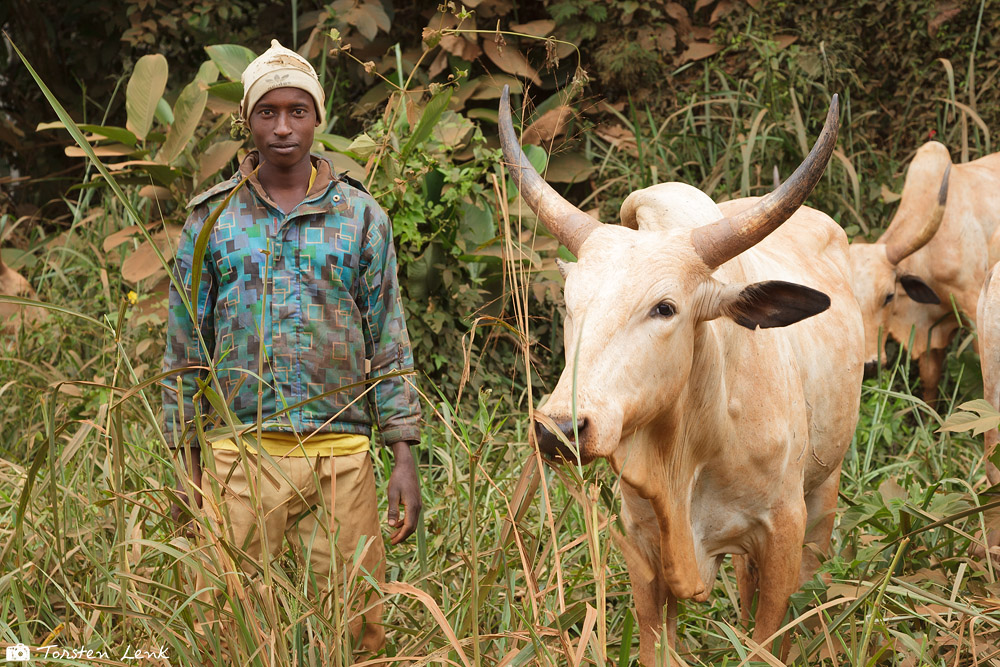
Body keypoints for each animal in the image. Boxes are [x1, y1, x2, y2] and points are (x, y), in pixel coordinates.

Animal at [504, 86, 864, 664]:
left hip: (823, 489)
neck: (693, 446)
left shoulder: (782, 533)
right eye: (569, 302)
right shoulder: (643, 547)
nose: (558, 429)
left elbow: (768, 636)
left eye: (665, 308)